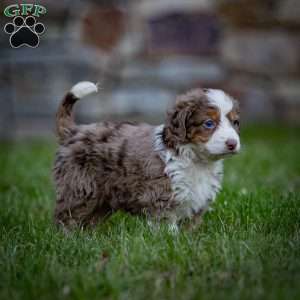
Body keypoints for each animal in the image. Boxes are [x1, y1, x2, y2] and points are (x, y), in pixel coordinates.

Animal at [53, 81, 241, 229]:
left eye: (235, 122)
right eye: (209, 123)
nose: (232, 144)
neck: (197, 160)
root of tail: (74, 131)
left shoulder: (197, 200)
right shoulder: (161, 197)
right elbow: (167, 226)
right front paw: (172, 242)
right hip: (80, 186)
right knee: (68, 215)